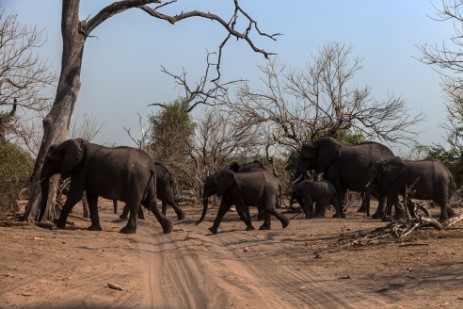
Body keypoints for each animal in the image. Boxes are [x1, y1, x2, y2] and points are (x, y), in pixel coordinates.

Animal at [39, 138, 173, 233]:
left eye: (49, 160)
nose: (42, 221)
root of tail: (151, 165)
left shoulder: (81, 169)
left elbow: (75, 195)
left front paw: (58, 224)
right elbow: (91, 197)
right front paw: (93, 229)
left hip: (136, 179)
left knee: (135, 202)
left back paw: (126, 231)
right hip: (149, 180)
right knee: (150, 202)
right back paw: (168, 229)